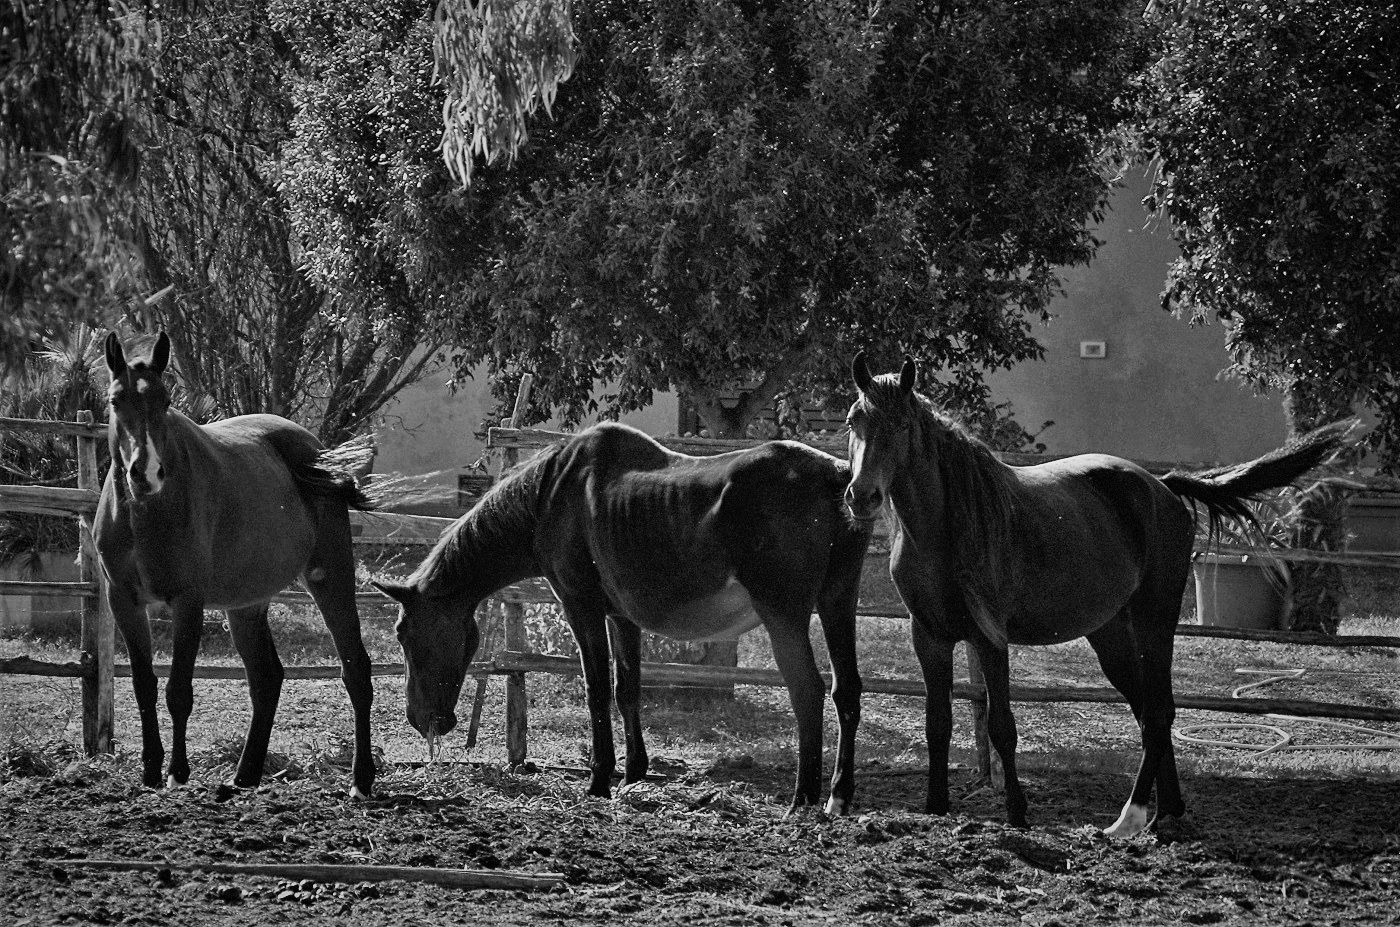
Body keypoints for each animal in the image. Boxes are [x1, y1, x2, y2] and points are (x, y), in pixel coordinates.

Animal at [93, 331, 379, 798]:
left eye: (165, 400)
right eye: (117, 400)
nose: (146, 473)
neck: (144, 512)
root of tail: (315, 452)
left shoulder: (187, 602)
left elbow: (178, 690)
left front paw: (177, 772)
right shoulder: (124, 601)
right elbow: (142, 684)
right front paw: (151, 772)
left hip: (330, 577)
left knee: (355, 668)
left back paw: (361, 779)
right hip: (246, 605)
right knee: (267, 678)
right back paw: (244, 776)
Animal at [372, 421, 874, 813]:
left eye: (404, 634)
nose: (421, 719)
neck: (550, 496)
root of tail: (836, 476)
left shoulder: (582, 607)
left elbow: (596, 690)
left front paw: (599, 780)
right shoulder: (623, 617)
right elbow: (627, 689)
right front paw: (633, 774)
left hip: (783, 614)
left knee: (808, 692)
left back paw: (803, 798)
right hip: (837, 603)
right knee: (846, 690)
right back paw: (838, 796)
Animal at [844, 353, 1346, 836]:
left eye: (901, 425)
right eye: (854, 421)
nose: (861, 496)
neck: (947, 526)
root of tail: (1162, 487)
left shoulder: (990, 639)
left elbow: (1002, 727)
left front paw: (1018, 814)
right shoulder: (928, 637)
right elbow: (938, 725)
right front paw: (935, 809)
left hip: (1155, 622)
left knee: (1159, 712)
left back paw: (1130, 818)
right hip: (1111, 637)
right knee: (1148, 714)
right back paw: (1168, 815)